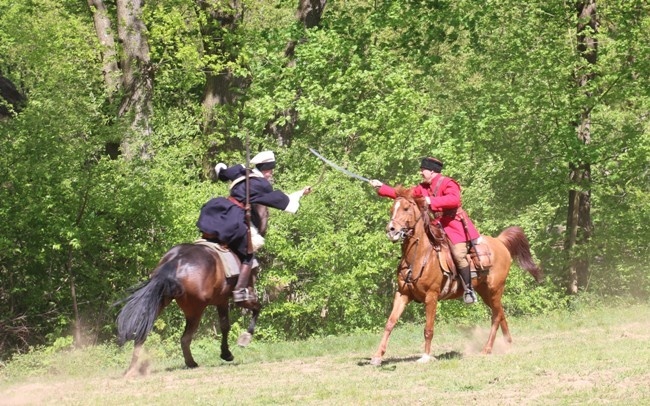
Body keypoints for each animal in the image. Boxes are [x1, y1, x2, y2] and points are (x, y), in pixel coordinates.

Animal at [115, 241, 260, 378]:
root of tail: (175, 262)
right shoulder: (228, 299)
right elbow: (241, 317)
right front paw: (234, 347)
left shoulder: (222, 301)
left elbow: (227, 324)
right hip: (195, 310)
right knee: (185, 338)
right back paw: (191, 363)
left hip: (158, 304)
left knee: (142, 333)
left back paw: (132, 369)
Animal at [370, 187, 540, 364]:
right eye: (392, 210)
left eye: (406, 208)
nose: (391, 230)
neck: (419, 256)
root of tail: (500, 242)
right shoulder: (402, 294)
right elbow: (390, 323)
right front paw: (377, 356)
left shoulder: (431, 296)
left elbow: (428, 328)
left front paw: (426, 356)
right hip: (485, 291)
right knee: (500, 313)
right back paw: (507, 344)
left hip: (495, 289)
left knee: (496, 316)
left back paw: (487, 349)